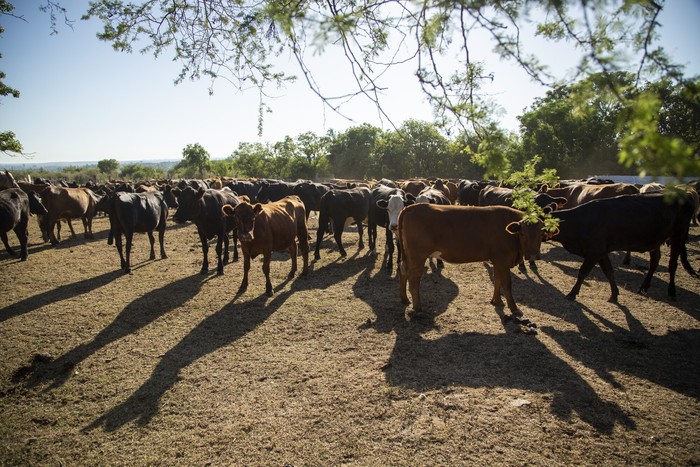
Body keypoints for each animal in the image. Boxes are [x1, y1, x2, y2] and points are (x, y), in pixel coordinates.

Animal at [400, 205, 540, 326]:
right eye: (523, 233)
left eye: (541, 233)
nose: (533, 256)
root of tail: (412, 207)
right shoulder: (503, 260)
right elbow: (506, 284)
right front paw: (514, 308)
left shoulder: (497, 261)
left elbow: (497, 280)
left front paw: (497, 301)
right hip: (418, 256)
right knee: (414, 278)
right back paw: (418, 308)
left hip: (408, 256)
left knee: (403, 271)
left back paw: (404, 299)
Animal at [552, 194, 696, 304]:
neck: (579, 220)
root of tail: (685, 195)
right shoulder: (601, 252)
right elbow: (609, 272)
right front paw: (614, 294)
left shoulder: (594, 252)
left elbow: (583, 272)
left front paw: (572, 293)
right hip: (656, 241)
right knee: (654, 262)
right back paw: (643, 287)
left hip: (678, 234)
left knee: (672, 264)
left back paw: (671, 292)